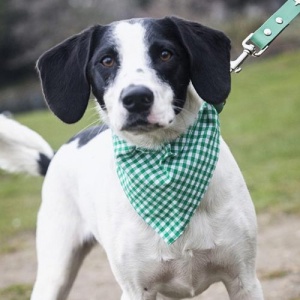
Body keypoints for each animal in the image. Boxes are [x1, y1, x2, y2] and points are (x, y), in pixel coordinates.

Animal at [0, 17, 264, 300]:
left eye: (165, 54)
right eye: (106, 60)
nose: (136, 98)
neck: (163, 162)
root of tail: (54, 157)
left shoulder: (244, 280)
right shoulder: (136, 290)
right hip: (55, 273)